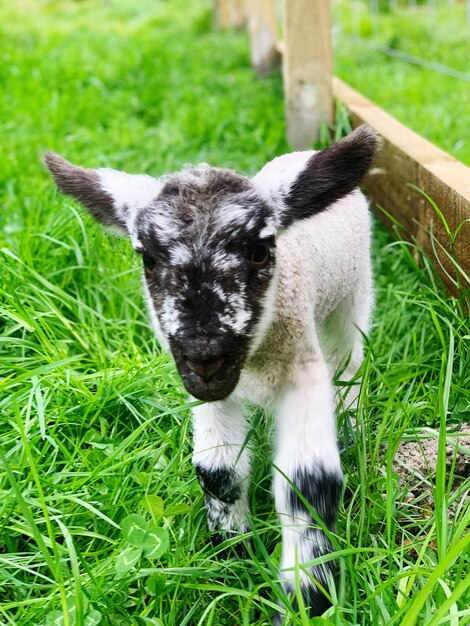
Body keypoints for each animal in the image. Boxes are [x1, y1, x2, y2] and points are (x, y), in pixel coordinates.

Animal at [46, 124, 380, 616]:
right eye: (147, 258)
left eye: (261, 250)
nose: (204, 354)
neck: (254, 364)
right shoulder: (208, 394)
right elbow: (217, 471)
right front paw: (232, 555)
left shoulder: (302, 367)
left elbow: (308, 482)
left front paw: (307, 596)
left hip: (351, 297)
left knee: (349, 363)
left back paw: (352, 428)